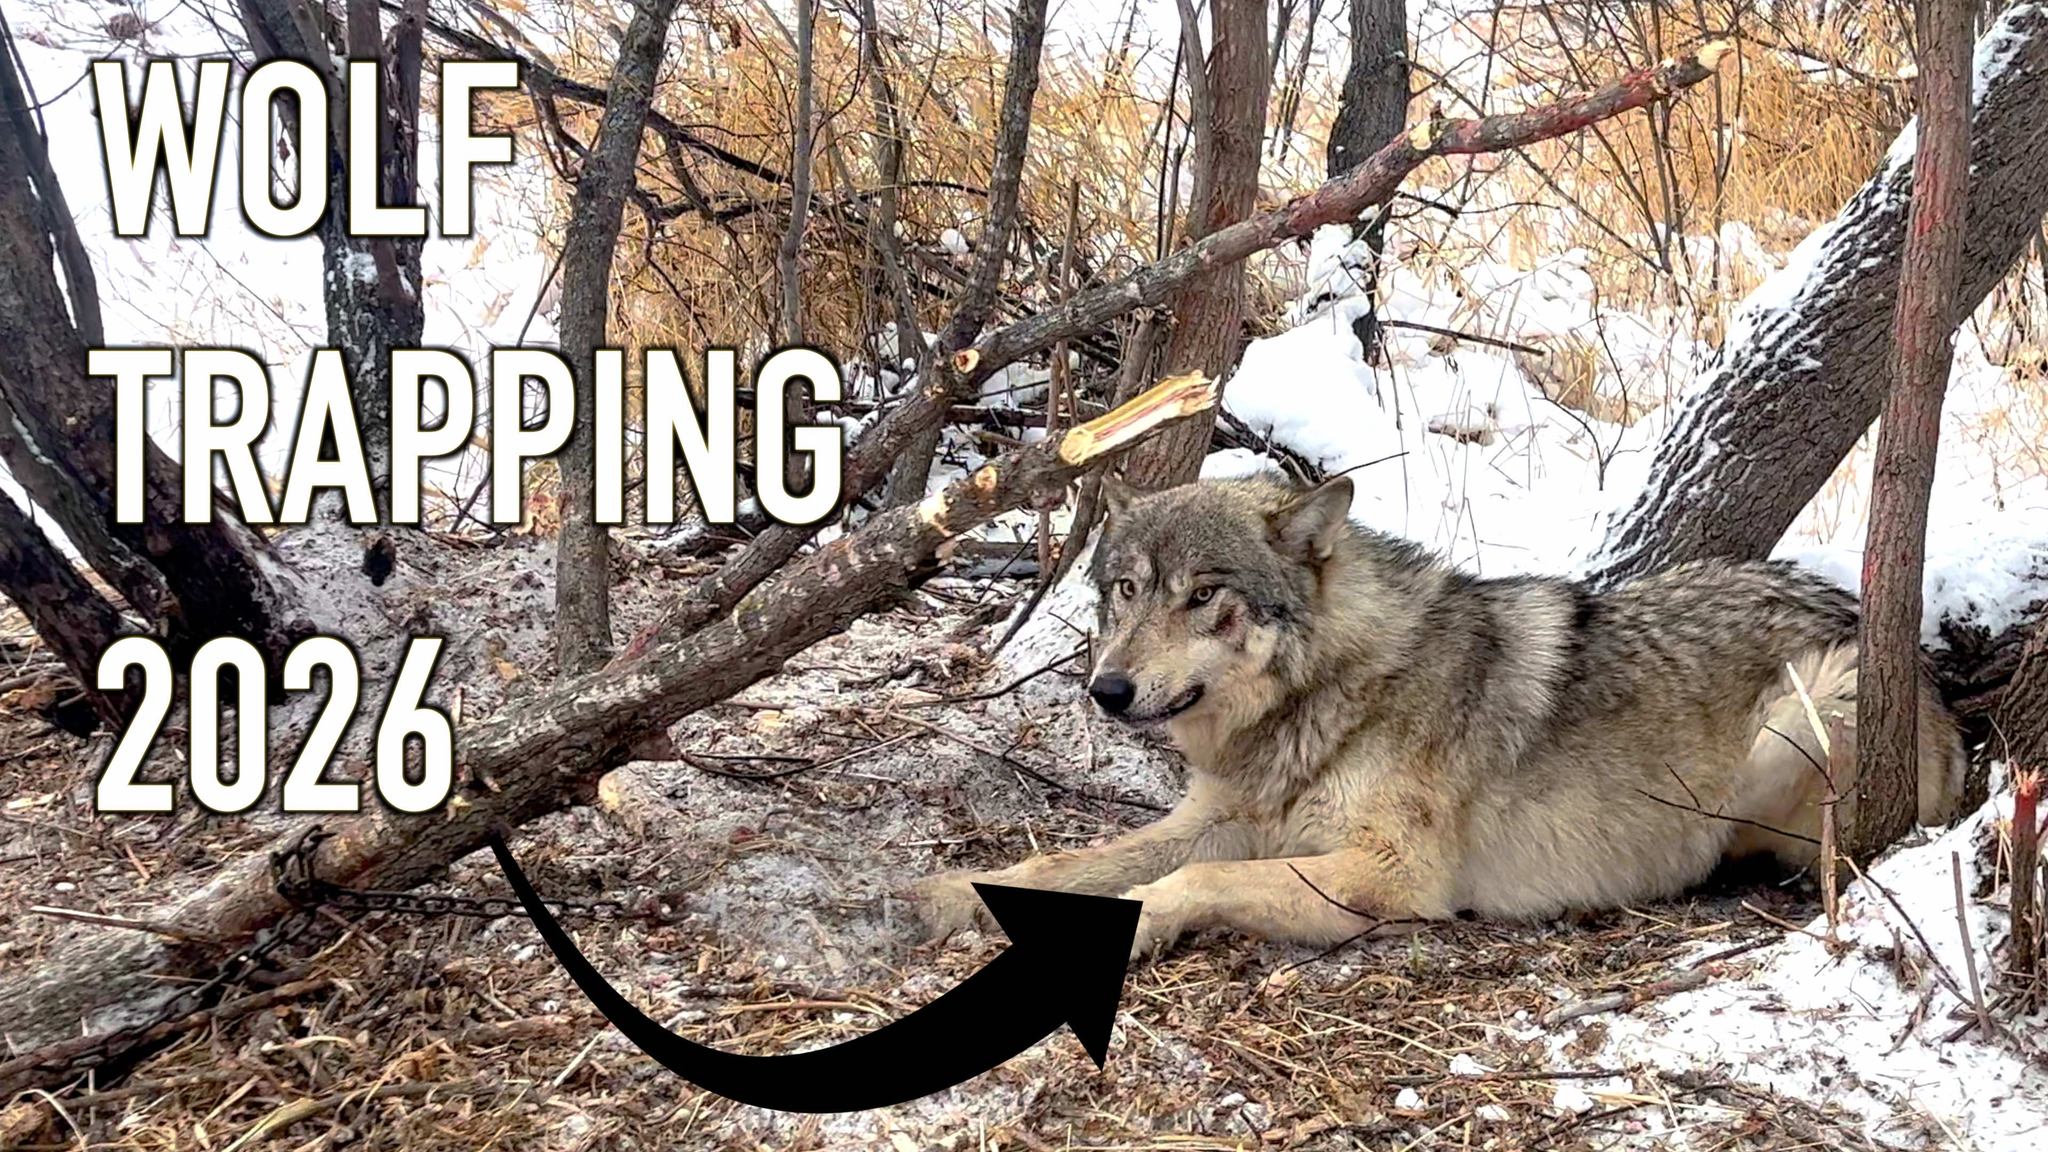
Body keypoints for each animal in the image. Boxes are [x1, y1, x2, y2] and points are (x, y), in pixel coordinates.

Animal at [913, 473, 1969, 959]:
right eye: (1125, 591)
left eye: (1203, 595)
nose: (1107, 689)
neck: (1329, 698)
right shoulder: (1213, 819)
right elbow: (1068, 864)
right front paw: (950, 890)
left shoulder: (1387, 875)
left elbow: (1184, 884)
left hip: (1796, 716)